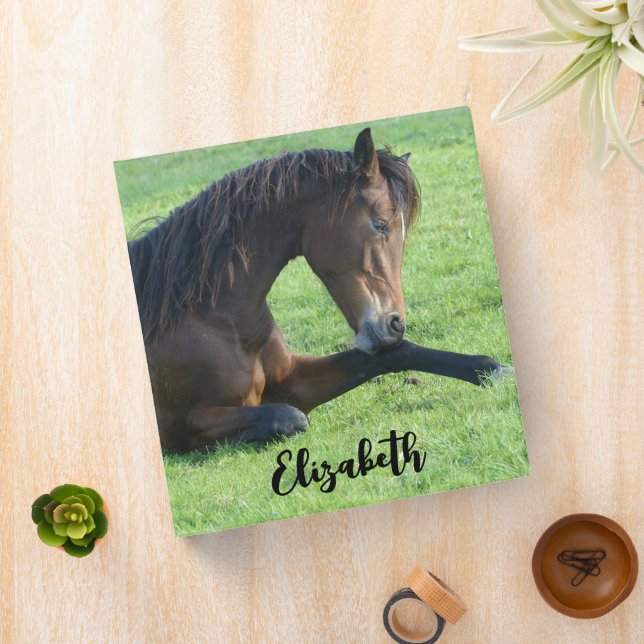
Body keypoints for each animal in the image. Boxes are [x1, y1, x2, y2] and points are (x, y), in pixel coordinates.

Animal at [128, 128, 508, 453]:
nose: (394, 323)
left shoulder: (294, 379)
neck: (211, 316)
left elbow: (396, 355)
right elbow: (289, 417)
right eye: (380, 224)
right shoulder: (189, 424)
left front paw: (493, 370)